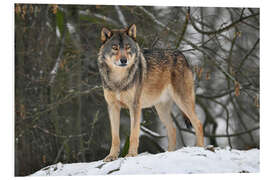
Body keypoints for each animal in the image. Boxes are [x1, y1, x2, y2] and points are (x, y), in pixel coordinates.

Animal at [98, 24, 204, 162]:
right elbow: (115, 137)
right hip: (161, 110)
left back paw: (200, 148)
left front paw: (131, 154)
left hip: (182, 101)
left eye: (127, 47)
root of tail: (181, 54)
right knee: (173, 130)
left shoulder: (135, 106)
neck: (118, 80)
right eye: (115, 48)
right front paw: (111, 156)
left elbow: (133, 134)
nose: (123, 60)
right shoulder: (112, 107)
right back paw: (169, 153)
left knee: (198, 124)